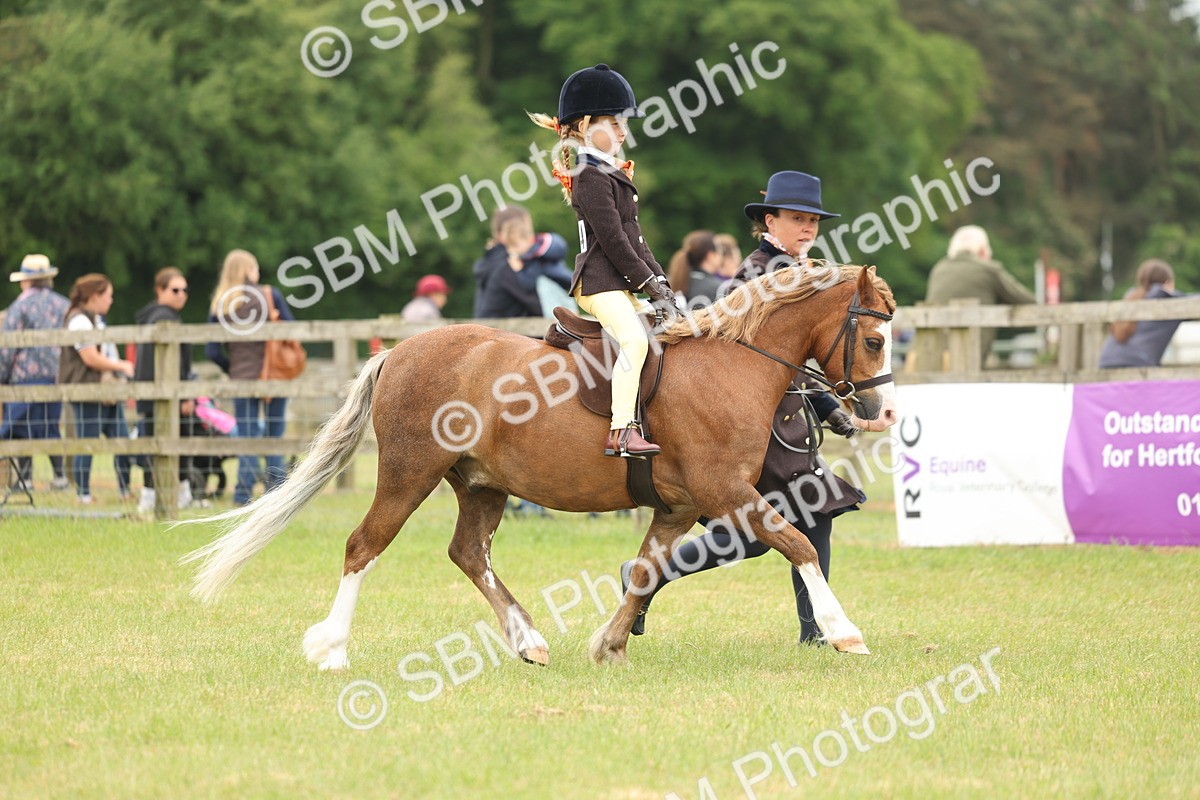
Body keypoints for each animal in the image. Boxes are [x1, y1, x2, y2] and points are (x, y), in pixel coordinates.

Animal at [181, 263, 898, 670]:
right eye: (873, 338)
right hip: (408, 476)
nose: (883, 412)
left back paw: (527, 640)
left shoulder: (682, 506)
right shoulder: (726, 492)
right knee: (364, 545)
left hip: (481, 485)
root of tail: (397, 353)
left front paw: (609, 644)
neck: (731, 365)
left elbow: (646, 570)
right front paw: (845, 634)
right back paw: (330, 648)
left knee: (468, 553)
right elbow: (798, 542)